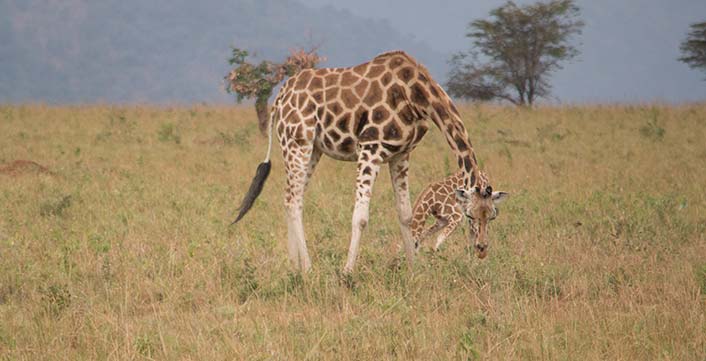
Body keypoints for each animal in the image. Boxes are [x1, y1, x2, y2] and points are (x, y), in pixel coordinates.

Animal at [231, 49, 500, 272]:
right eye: (469, 216)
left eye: (492, 216)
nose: (482, 249)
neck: (417, 95)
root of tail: (280, 97)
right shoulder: (370, 147)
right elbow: (360, 217)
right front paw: (347, 272)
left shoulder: (400, 154)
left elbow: (405, 215)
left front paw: (414, 270)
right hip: (297, 141)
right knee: (293, 198)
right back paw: (307, 268)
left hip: (313, 148)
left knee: (290, 196)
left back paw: (293, 264)